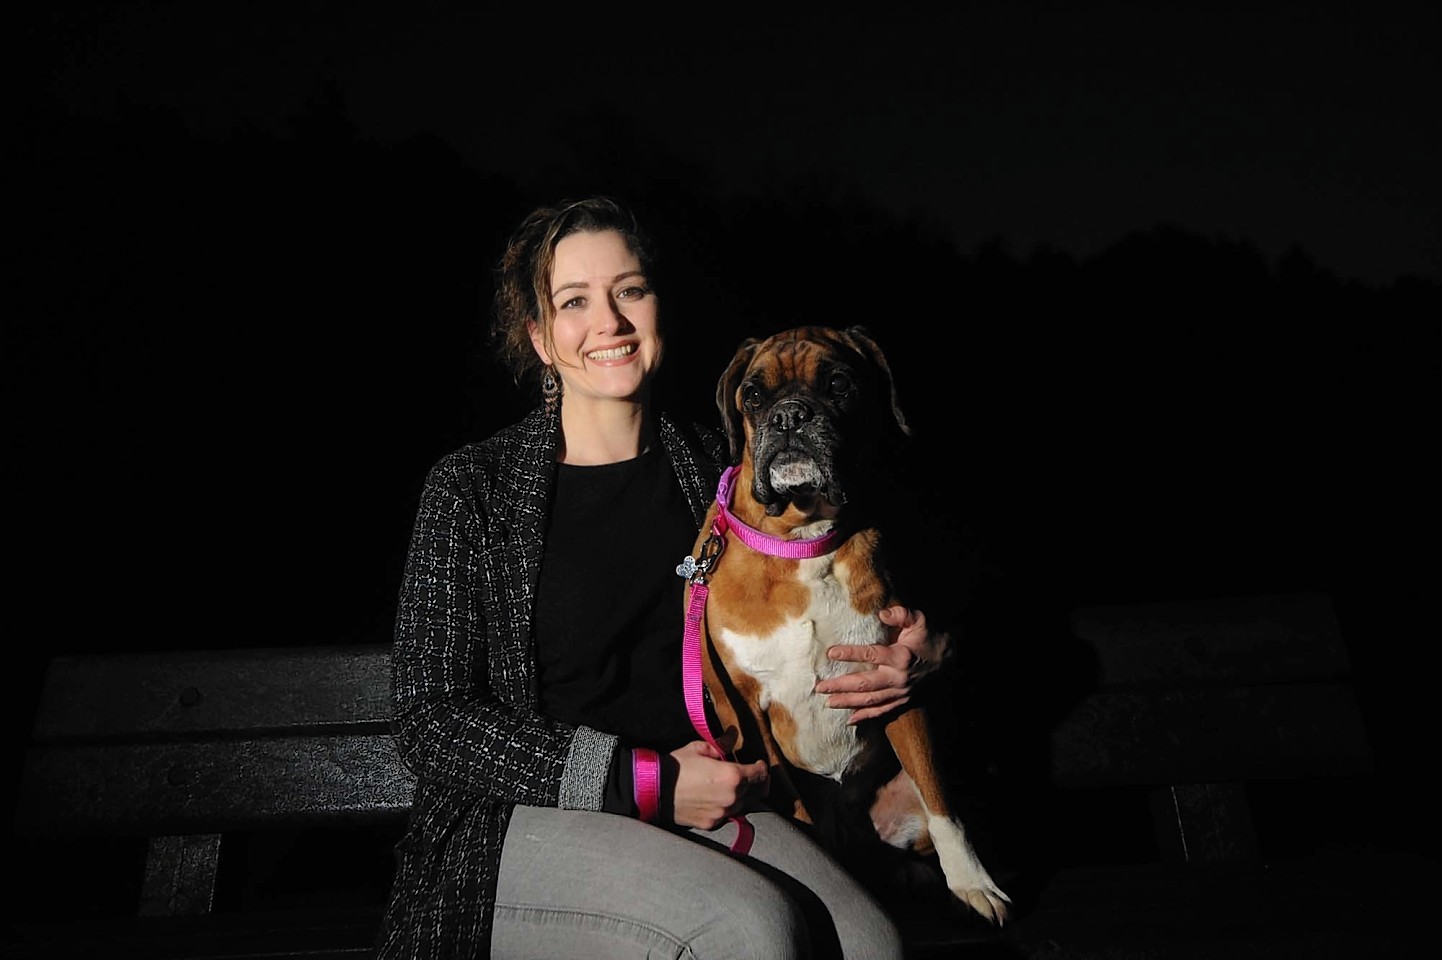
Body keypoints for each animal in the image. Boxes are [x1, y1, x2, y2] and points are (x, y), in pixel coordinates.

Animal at [680, 325, 1009, 922]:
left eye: (839, 384)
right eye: (754, 396)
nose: (790, 415)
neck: (803, 539)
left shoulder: (899, 687)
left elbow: (944, 806)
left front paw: (974, 882)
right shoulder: (746, 709)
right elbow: (794, 807)